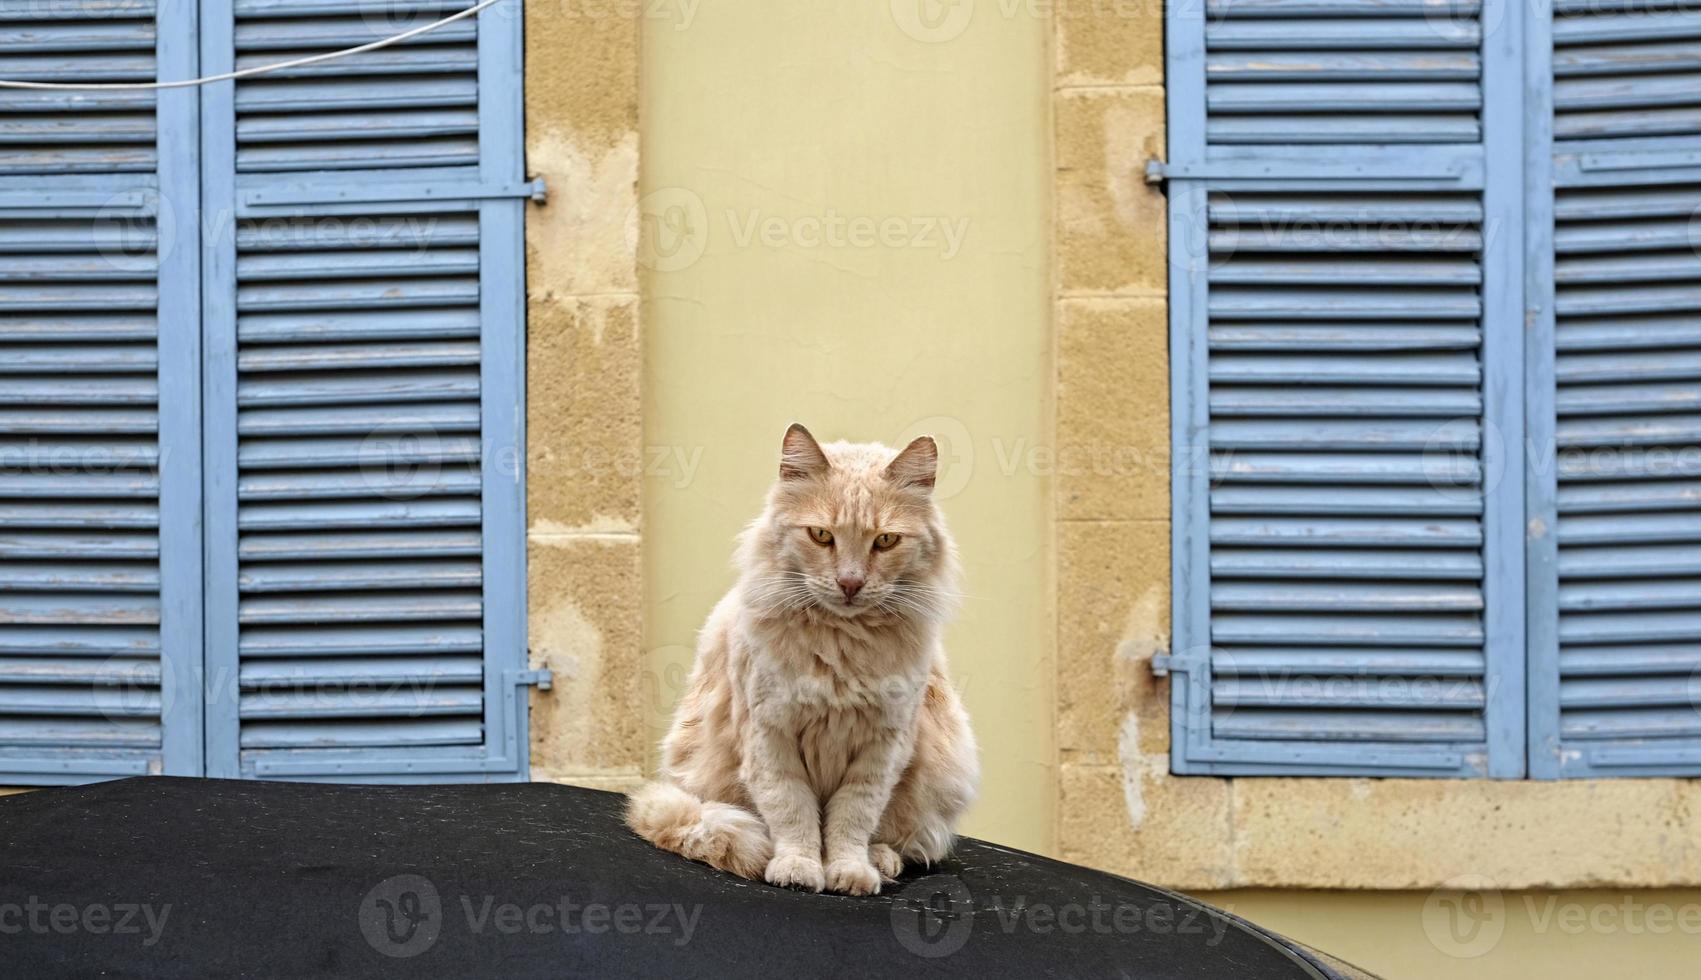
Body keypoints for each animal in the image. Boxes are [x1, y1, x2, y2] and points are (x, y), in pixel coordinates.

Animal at [629, 423, 979, 898]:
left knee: (901, 840)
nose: (850, 583)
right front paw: (799, 867)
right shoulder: (771, 739)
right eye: (822, 536)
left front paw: (849, 872)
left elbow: (852, 820)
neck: (841, 646)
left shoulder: (881, 749)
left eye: (885, 541)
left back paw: (880, 860)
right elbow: (793, 813)